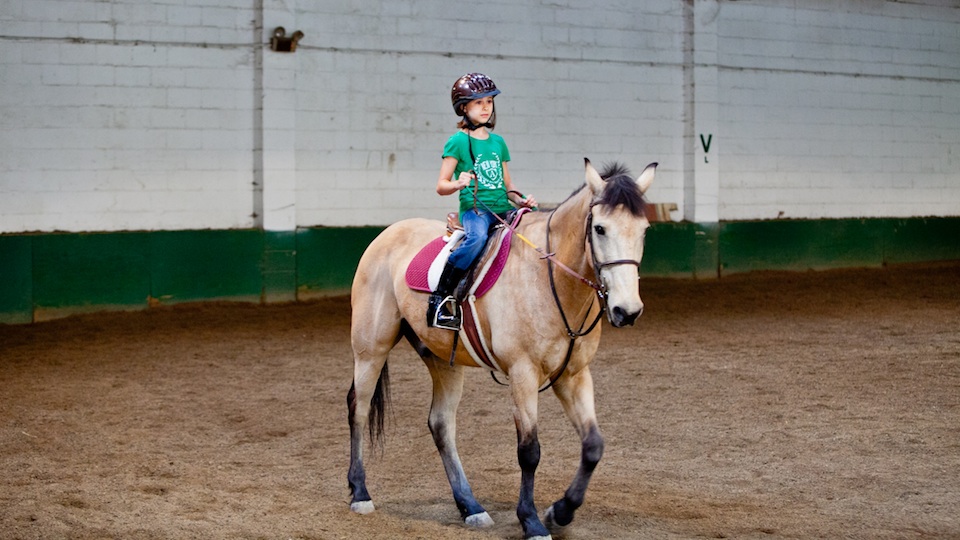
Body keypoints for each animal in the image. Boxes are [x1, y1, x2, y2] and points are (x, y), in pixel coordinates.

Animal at [348, 158, 656, 536]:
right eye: (599, 228)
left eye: (643, 230)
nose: (627, 311)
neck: (551, 279)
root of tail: (388, 233)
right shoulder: (523, 373)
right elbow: (529, 451)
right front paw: (532, 521)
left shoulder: (574, 375)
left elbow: (593, 445)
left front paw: (561, 512)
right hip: (370, 349)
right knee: (359, 409)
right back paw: (360, 493)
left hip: (444, 361)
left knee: (441, 425)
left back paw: (470, 506)